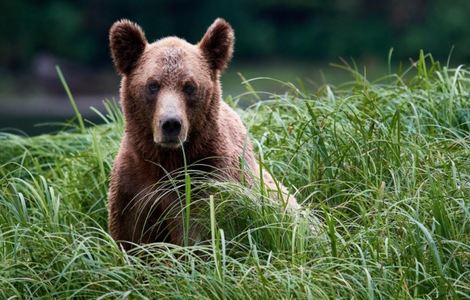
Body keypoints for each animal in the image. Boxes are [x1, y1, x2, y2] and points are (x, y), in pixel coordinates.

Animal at [107, 17, 298, 250]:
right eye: (152, 85)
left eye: (189, 86)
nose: (171, 124)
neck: (169, 158)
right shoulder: (133, 188)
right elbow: (130, 239)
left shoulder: (209, 181)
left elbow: (197, 234)